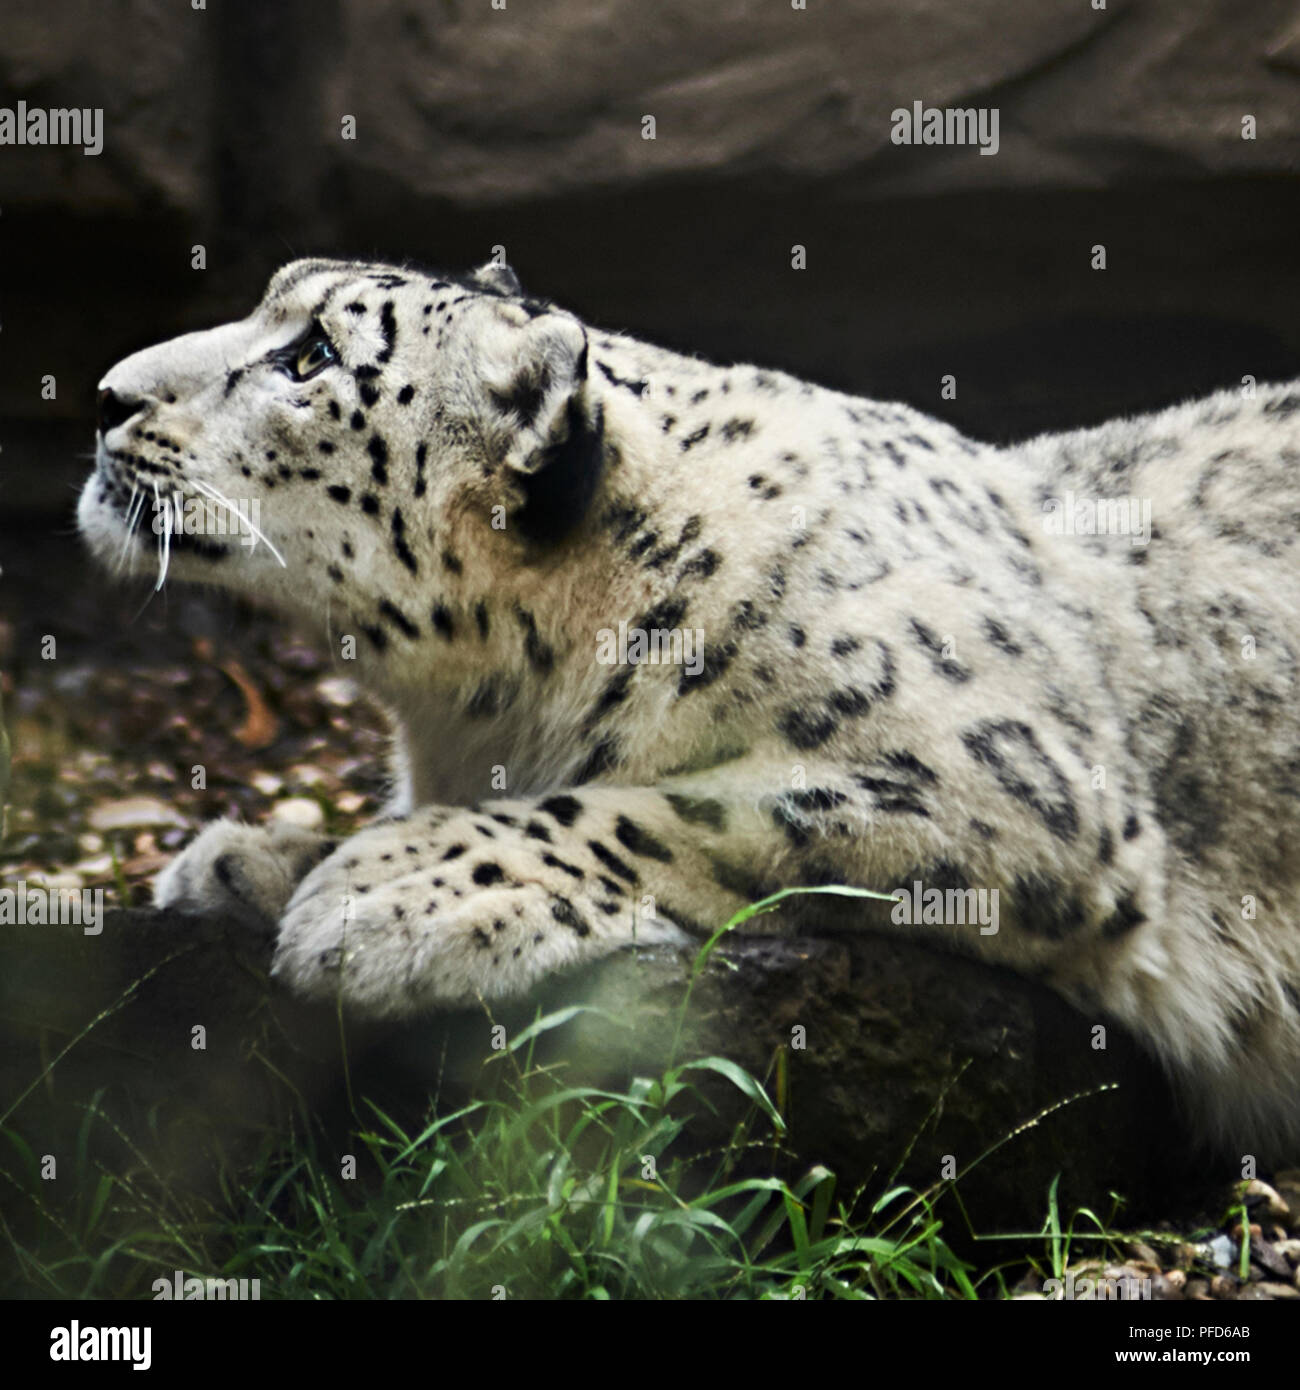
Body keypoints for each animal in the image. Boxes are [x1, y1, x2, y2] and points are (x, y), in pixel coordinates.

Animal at [77, 256, 1300, 1157]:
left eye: (314, 354)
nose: (105, 394)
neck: (468, 722)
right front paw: (252, 858)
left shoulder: (1017, 796)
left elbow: (680, 809)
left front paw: (392, 890)